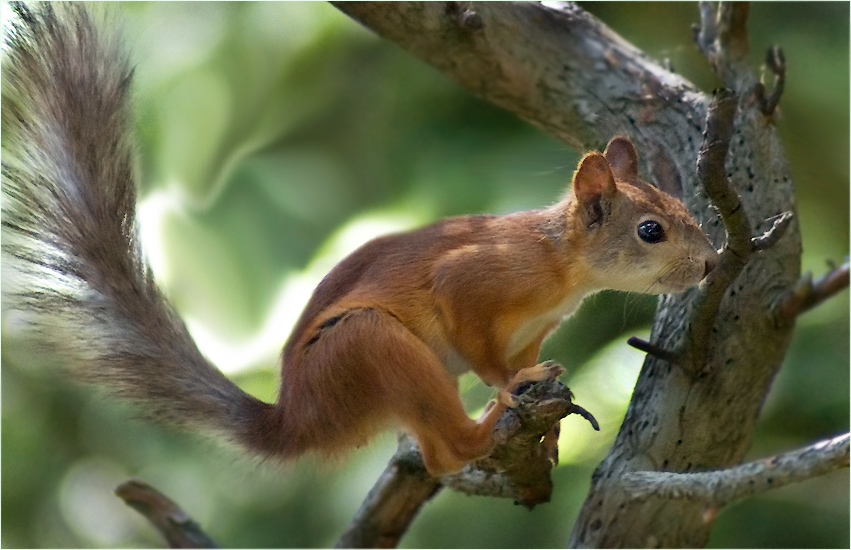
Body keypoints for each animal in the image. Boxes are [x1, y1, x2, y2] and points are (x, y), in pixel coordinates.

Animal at [1, 4, 720, 476]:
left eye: (683, 206)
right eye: (650, 230)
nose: (711, 264)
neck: (561, 265)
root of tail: (296, 420)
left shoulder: (532, 327)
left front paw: (540, 411)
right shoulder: (475, 281)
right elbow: (484, 350)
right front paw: (513, 386)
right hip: (370, 350)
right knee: (446, 454)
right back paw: (489, 430)